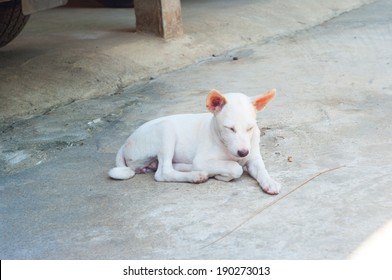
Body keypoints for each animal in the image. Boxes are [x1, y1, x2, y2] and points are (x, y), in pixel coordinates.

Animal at [109, 88, 282, 194]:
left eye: (250, 128)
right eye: (230, 128)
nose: (243, 152)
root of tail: (126, 143)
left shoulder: (253, 158)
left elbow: (261, 170)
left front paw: (270, 182)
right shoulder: (203, 160)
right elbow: (235, 168)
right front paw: (222, 176)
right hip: (166, 130)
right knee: (163, 172)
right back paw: (196, 175)